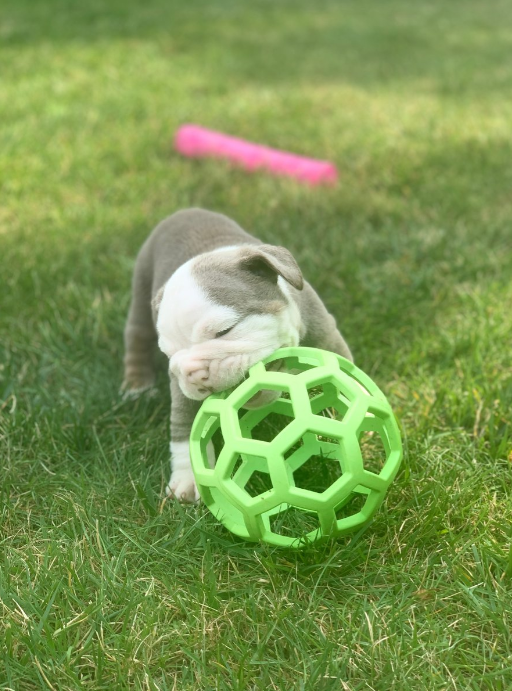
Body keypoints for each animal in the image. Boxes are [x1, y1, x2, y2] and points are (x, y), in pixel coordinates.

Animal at [123, 205, 352, 502]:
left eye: (225, 330)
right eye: (170, 354)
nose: (193, 374)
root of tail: (184, 211)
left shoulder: (325, 337)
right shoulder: (179, 385)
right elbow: (183, 425)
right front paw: (187, 479)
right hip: (141, 287)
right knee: (137, 338)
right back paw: (137, 387)